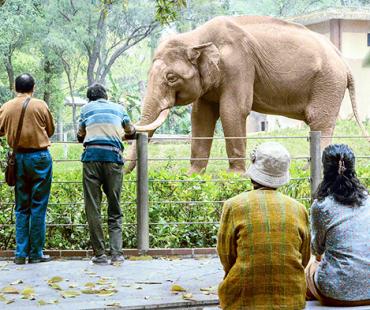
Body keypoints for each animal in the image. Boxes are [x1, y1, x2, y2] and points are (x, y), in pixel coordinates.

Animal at [125, 15, 368, 173]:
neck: (196, 37)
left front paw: (235, 176)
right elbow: (201, 116)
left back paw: (309, 170)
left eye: (171, 78)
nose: (128, 130)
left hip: (328, 83)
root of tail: (342, 59)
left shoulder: (239, 65)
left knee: (320, 122)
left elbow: (232, 110)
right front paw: (193, 176)